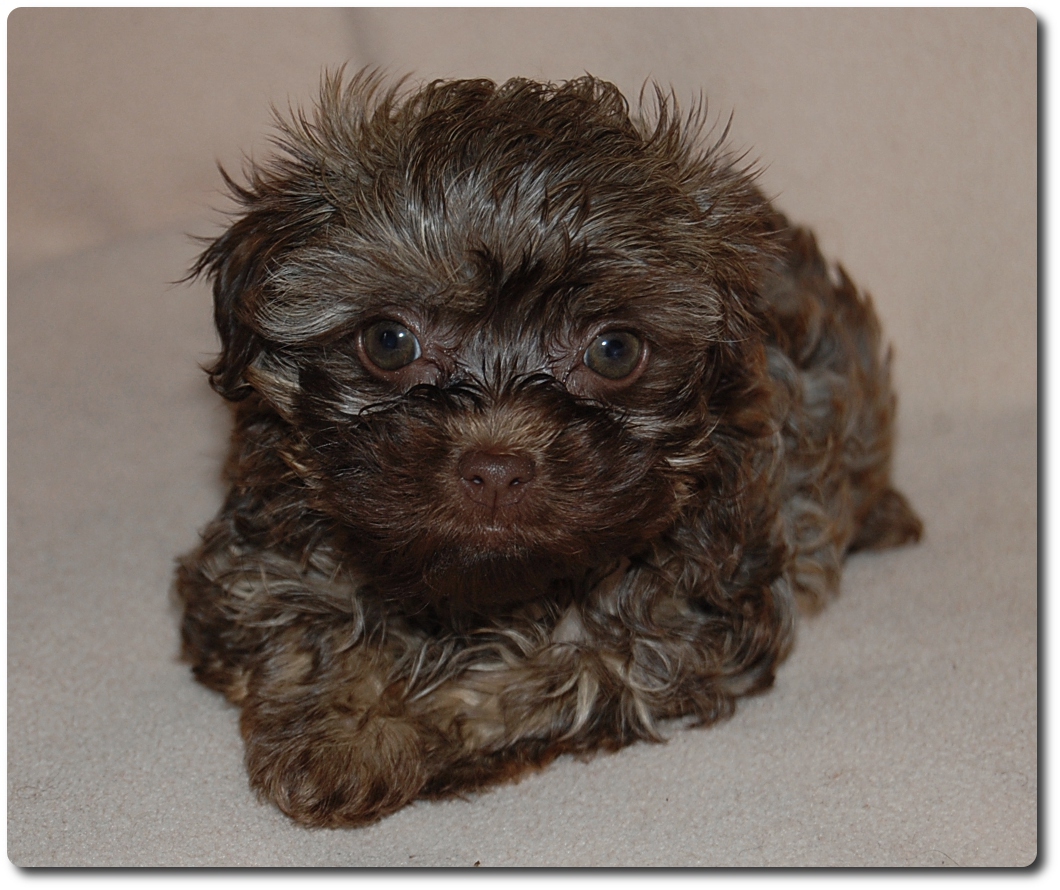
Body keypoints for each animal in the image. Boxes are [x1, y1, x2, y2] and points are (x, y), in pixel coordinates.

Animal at [176, 71, 922, 827]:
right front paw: (342, 733)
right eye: (388, 341)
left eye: (614, 350)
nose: (496, 469)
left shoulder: (678, 627)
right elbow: (305, 622)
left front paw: (392, 731)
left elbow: (547, 680)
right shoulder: (250, 560)